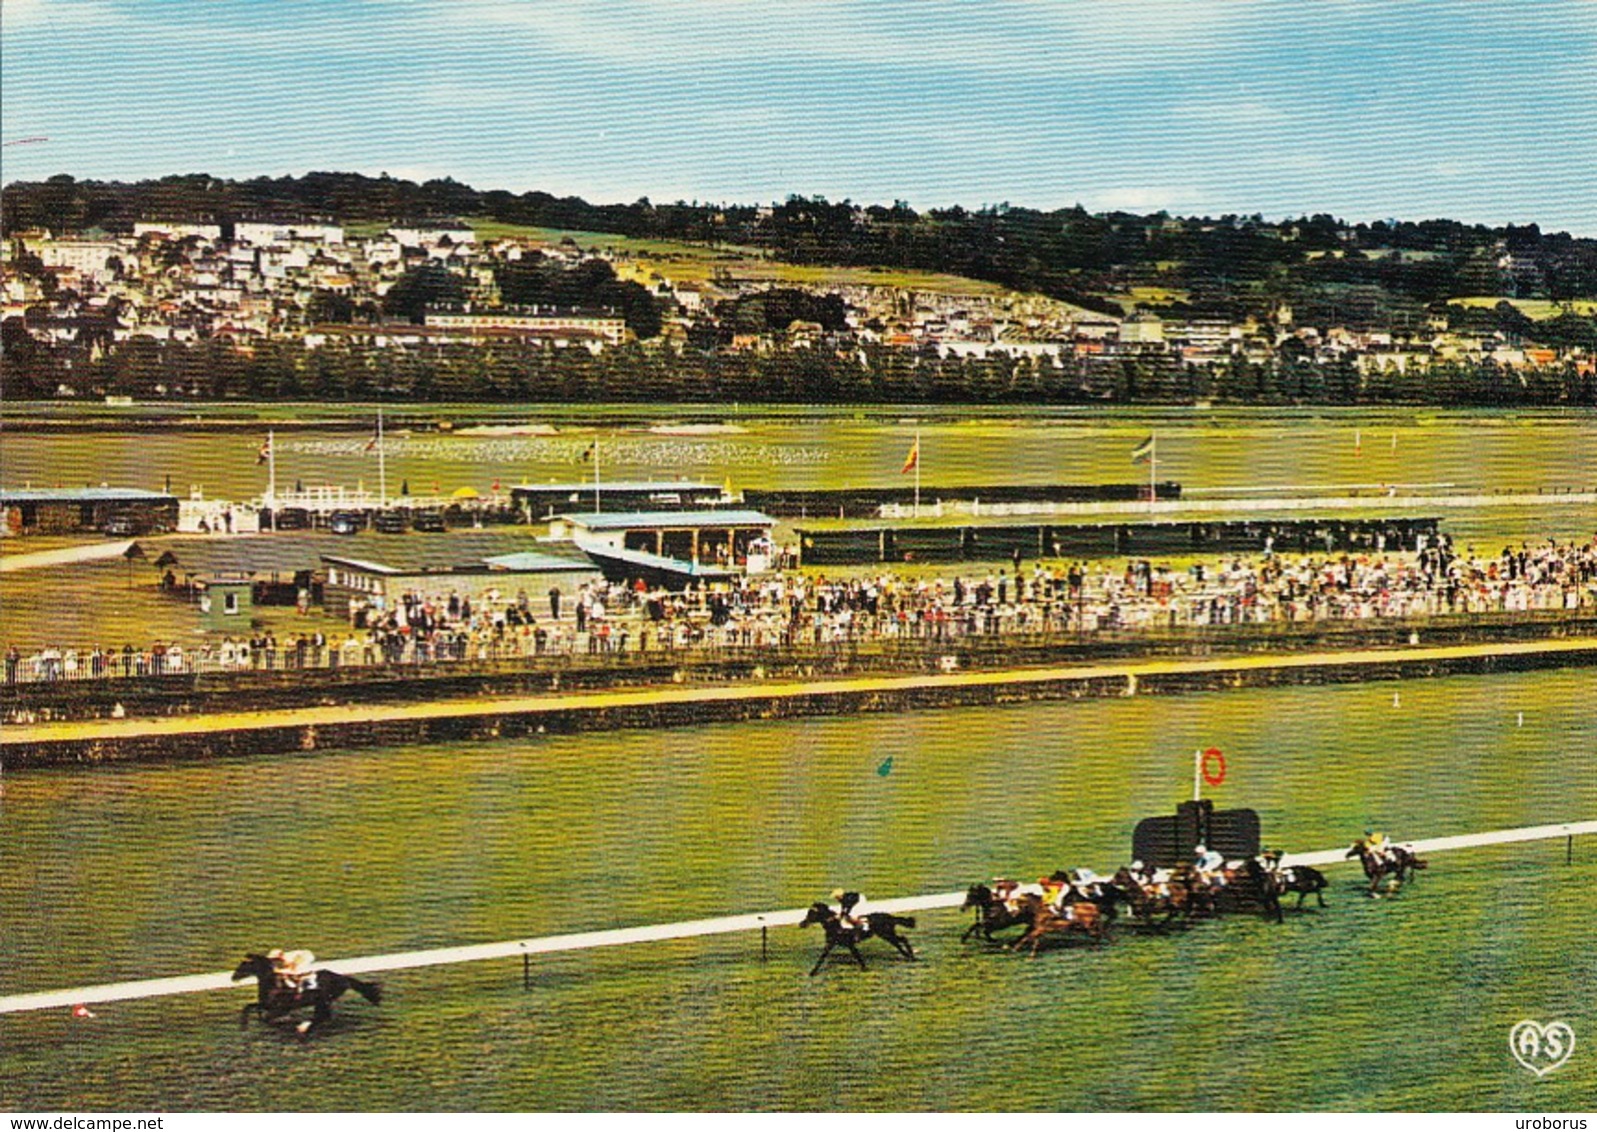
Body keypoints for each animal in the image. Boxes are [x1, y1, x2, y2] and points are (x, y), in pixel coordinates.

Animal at [233, 951, 383, 1034]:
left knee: (322, 1016)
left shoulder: (279, 1007)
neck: (273, 984)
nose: (233, 977)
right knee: (323, 1016)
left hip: (323, 1000)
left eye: (245, 964)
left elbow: (266, 1016)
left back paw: (304, 1028)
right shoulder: (267, 1004)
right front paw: (245, 1024)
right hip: (322, 1001)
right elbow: (250, 1007)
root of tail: (342, 977)